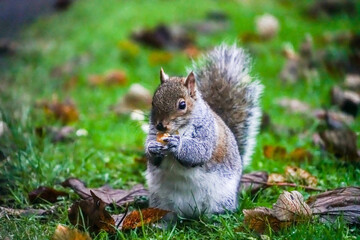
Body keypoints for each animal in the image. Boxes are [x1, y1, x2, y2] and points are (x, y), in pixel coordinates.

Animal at [145, 44, 262, 218]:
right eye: (153, 102)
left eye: (182, 105)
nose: (160, 126)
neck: (180, 129)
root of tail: (189, 212)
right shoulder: (152, 131)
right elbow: (152, 156)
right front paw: (152, 147)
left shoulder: (207, 131)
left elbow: (201, 151)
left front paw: (177, 144)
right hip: (161, 202)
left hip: (220, 200)